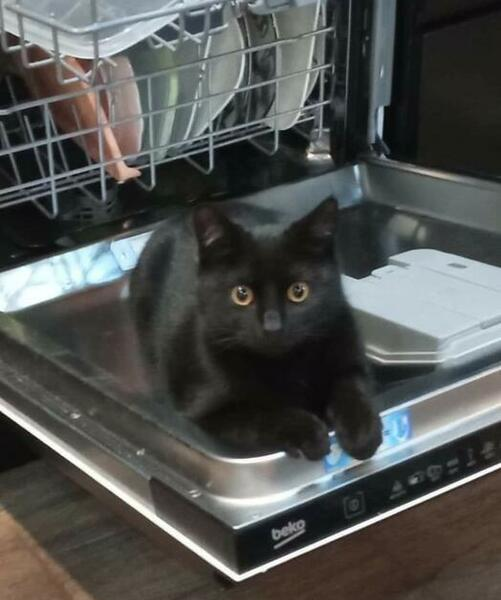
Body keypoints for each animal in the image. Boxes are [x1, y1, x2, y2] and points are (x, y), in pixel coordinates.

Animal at [130, 198, 382, 461]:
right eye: (242, 294)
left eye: (298, 291)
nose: (273, 326)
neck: (285, 365)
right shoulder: (209, 414)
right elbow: (264, 416)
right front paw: (309, 432)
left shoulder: (351, 355)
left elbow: (351, 388)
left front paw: (361, 431)